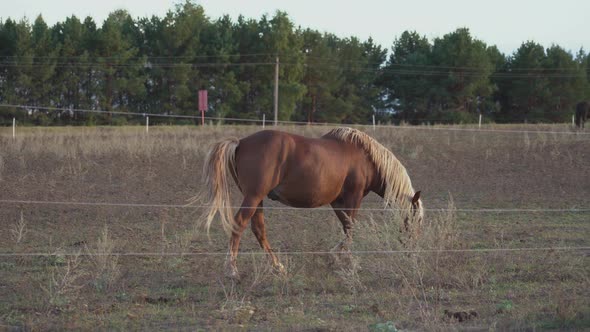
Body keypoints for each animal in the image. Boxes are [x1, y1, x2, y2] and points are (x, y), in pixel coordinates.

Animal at [201, 127, 424, 278]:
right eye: (416, 219)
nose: (413, 251)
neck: (366, 157)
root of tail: (241, 143)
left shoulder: (337, 202)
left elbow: (346, 228)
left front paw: (335, 258)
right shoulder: (354, 197)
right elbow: (350, 228)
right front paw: (348, 262)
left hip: (256, 199)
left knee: (258, 229)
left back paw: (277, 266)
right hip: (253, 197)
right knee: (239, 224)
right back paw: (232, 270)